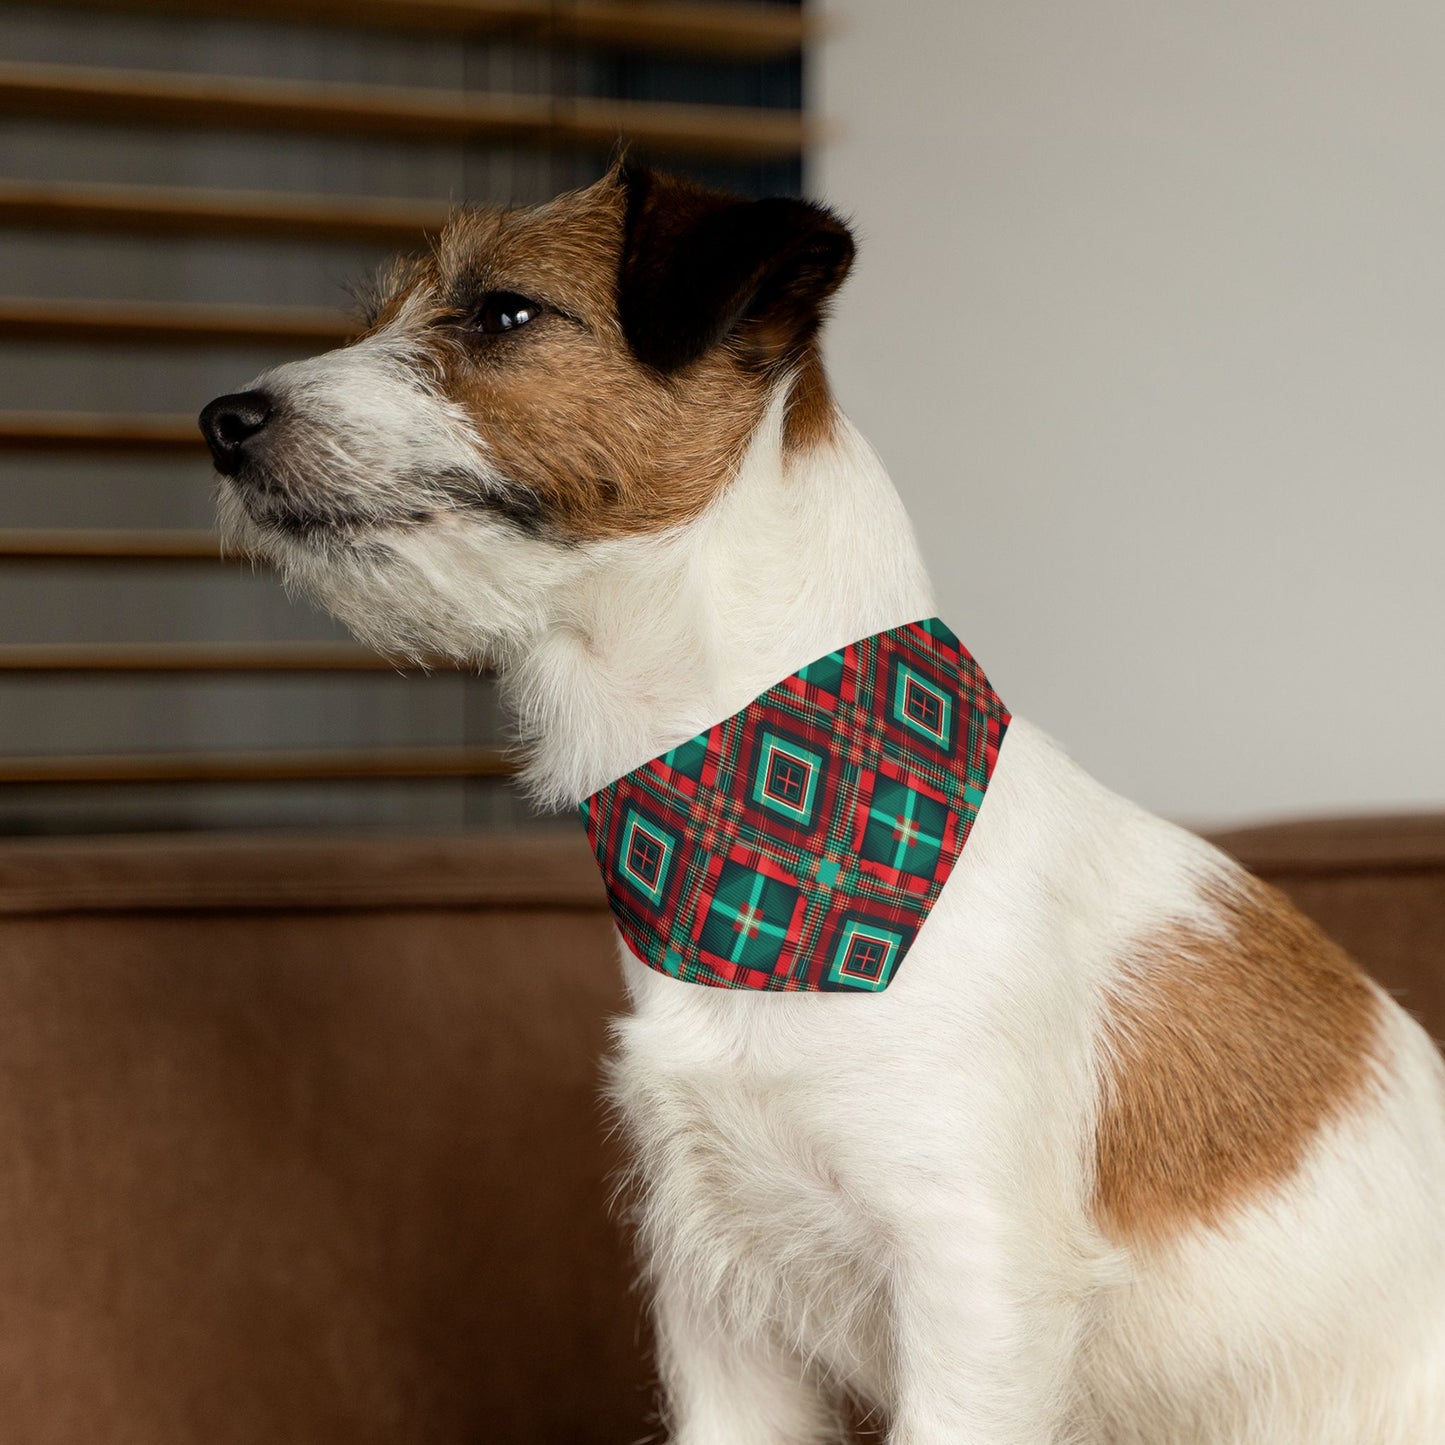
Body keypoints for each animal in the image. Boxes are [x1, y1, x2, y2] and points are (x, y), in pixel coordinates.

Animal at [200, 166, 1445, 1445]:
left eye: (502, 312)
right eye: (382, 314)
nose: (222, 421)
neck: (767, 821)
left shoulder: (972, 1292)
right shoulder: (716, 1303)